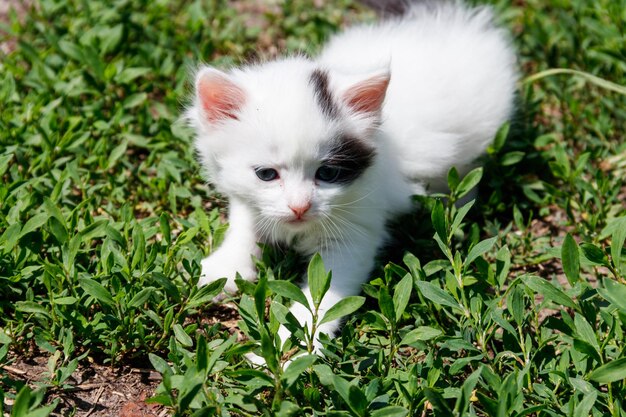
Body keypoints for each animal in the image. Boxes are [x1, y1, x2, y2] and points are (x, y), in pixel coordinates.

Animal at [186, 1, 516, 356]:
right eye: (266, 175)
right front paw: (223, 268)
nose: (299, 207)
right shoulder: (247, 195)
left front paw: (291, 350)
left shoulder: (356, 231)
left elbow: (321, 299)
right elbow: (245, 223)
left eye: (328, 173)